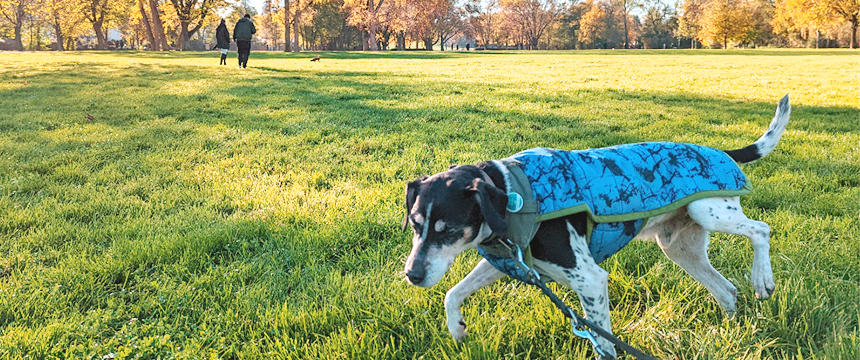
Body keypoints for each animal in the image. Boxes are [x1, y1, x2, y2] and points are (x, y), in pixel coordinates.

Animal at [404, 95, 792, 358]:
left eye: (448, 229)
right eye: (416, 225)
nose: (412, 275)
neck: (510, 192)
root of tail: (722, 152)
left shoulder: (589, 279)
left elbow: (604, 344)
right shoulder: (511, 262)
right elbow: (453, 294)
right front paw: (456, 328)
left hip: (710, 211)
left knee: (761, 229)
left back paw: (762, 278)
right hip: (680, 249)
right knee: (727, 291)